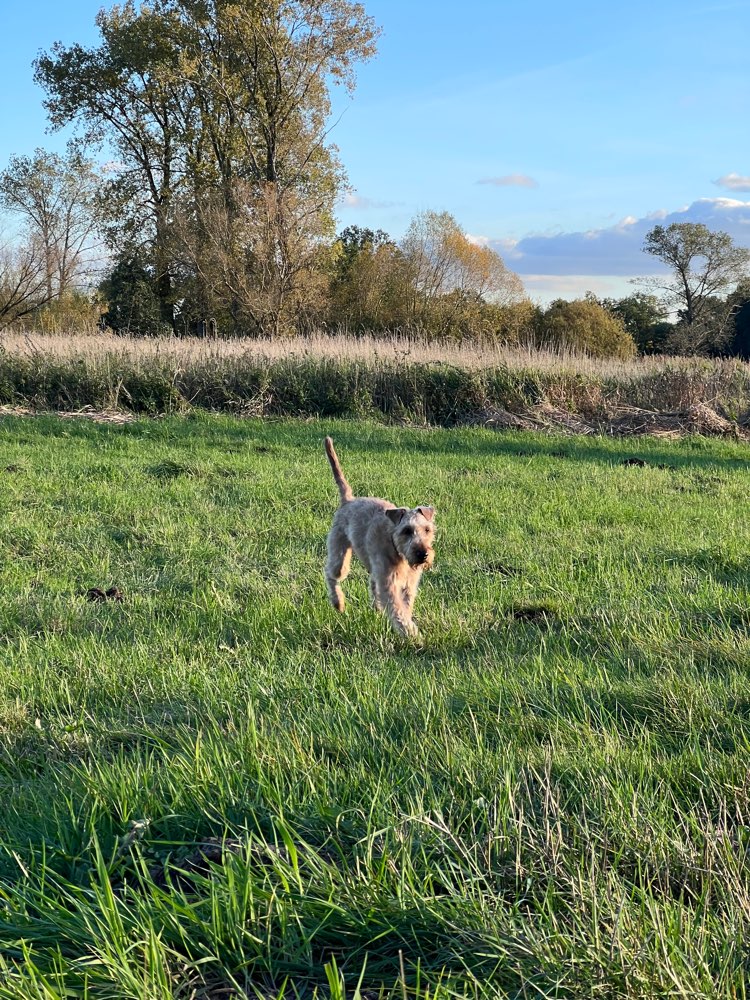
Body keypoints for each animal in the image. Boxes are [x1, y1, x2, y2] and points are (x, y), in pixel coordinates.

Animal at [323, 436, 435, 637]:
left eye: (427, 530)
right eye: (406, 530)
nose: (423, 554)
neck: (397, 550)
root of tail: (348, 500)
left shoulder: (408, 585)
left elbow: (405, 606)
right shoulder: (389, 583)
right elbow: (398, 609)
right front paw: (411, 633)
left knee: (371, 585)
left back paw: (375, 609)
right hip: (339, 554)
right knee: (330, 574)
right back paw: (338, 604)